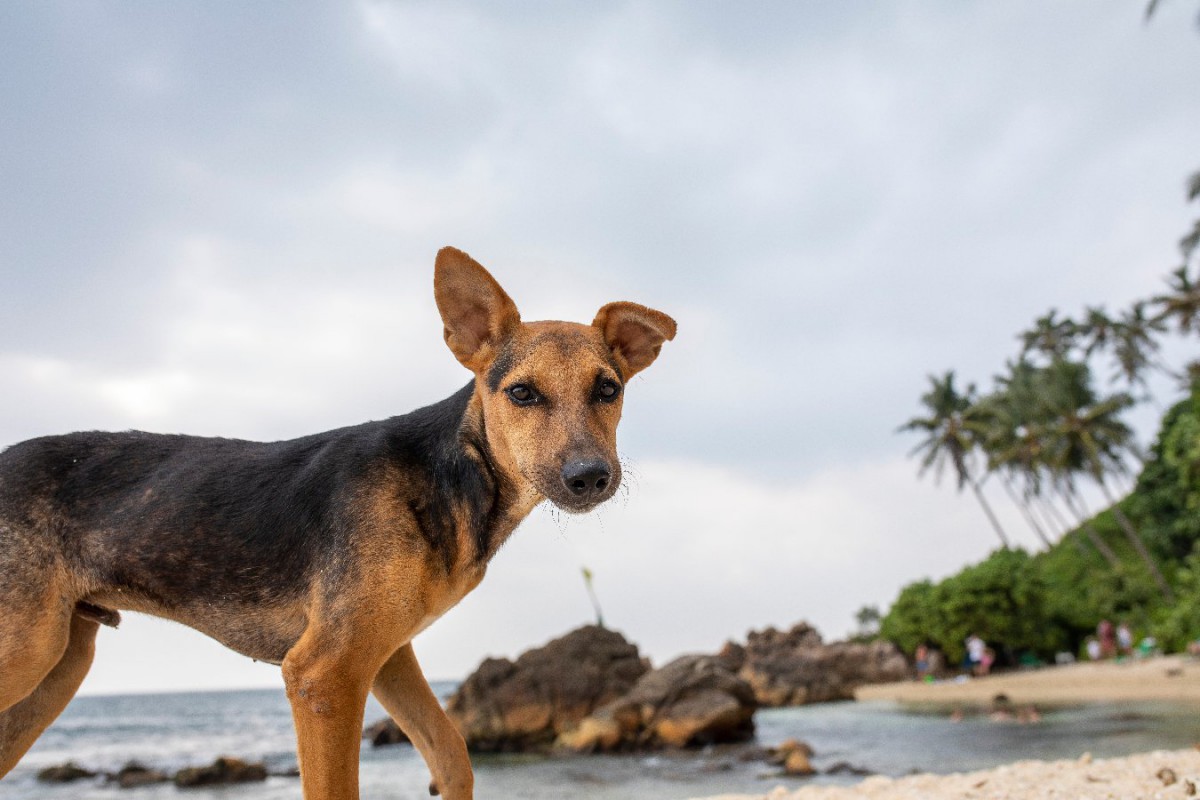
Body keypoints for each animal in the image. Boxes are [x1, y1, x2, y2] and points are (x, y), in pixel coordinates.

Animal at [0, 248, 676, 800]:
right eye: (522, 394)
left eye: (608, 388)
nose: (590, 477)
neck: (451, 475)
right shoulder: (324, 674)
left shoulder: (386, 653)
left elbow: (452, 756)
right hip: (29, 651)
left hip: (58, 665)